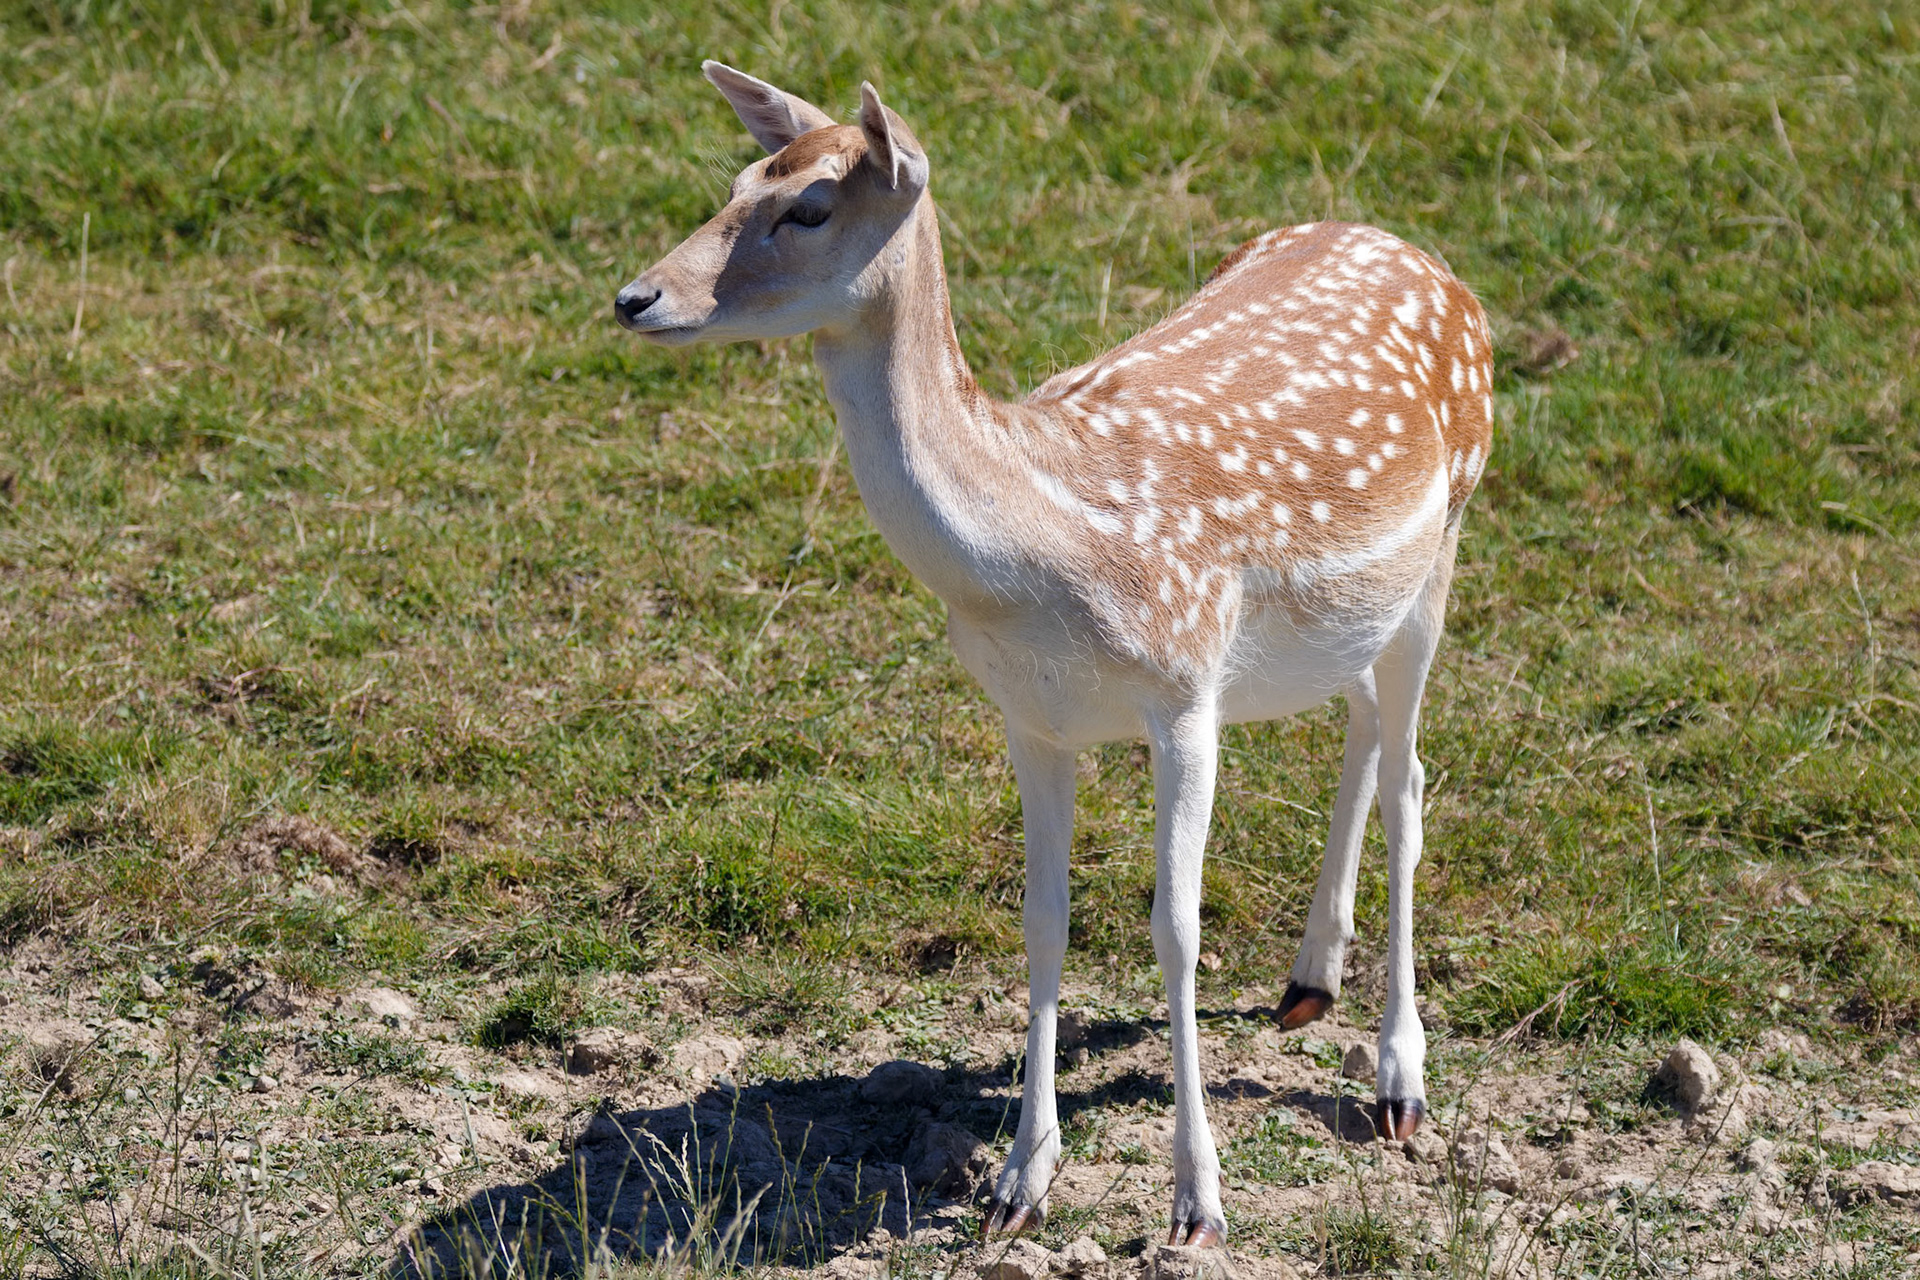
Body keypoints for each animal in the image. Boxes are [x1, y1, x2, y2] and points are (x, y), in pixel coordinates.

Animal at [615, 64, 1493, 1247]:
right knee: (1361, 723)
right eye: (737, 181)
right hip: (1353, 612)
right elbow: (1043, 922)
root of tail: (1433, 264)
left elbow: (1176, 930)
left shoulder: (1185, 690)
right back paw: (1309, 979)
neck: (1041, 558)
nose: (636, 298)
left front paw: (1198, 1202)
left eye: (809, 206)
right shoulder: (1029, 714)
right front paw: (1018, 1181)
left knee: (1410, 780)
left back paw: (1401, 1079)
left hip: (1444, 545)